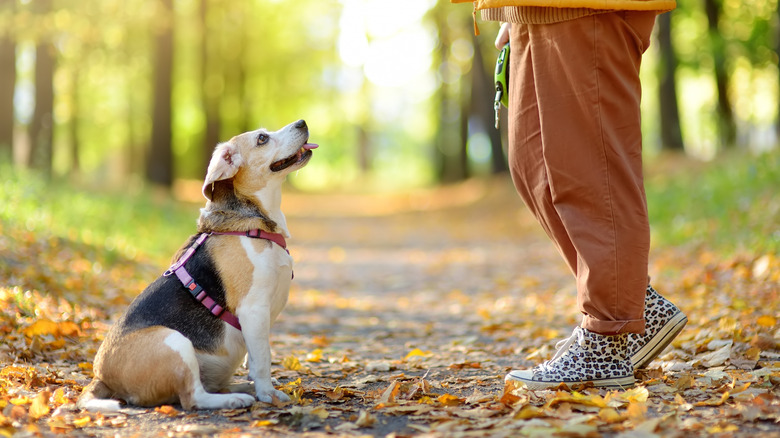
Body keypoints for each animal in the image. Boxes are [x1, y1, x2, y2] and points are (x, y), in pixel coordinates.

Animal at [78, 120, 316, 410]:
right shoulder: (254, 309)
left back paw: (239, 389)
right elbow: (262, 360)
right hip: (174, 341)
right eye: (262, 138)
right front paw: (268, 394)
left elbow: (255, 357)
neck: (253, 226)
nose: (302, 122)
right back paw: (236, 398)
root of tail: (101, 377)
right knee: (193, 398)